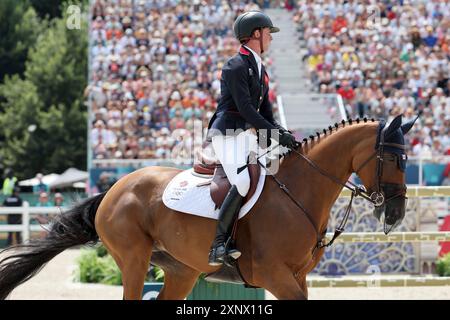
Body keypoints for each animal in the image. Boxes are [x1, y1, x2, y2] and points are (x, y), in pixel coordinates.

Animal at [0, 114, 414, 298]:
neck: (299, 190)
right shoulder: (276, 276)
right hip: (133, 260)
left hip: (180, 270)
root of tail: (114, 188)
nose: (395, 213)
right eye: (395, 159)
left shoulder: (298, 277)